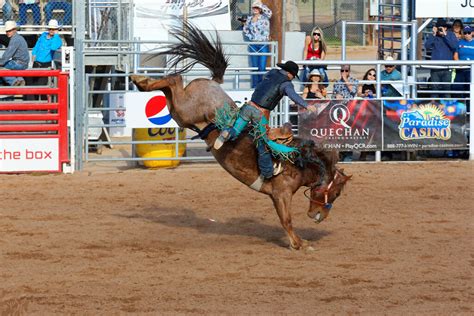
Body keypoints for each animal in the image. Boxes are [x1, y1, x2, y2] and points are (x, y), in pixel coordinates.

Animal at [131, 21, 350, 249]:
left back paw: (142, 81)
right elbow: (287, 220)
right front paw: (299, 243)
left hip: (181, 116)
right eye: (335, 193)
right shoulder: (281, 194)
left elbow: (285, 220)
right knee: (175, 79)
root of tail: (213, 82)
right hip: (186, 109)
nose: (319, 216)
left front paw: (299, 241)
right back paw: (140, 79)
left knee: (171, 89)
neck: (299, 162)